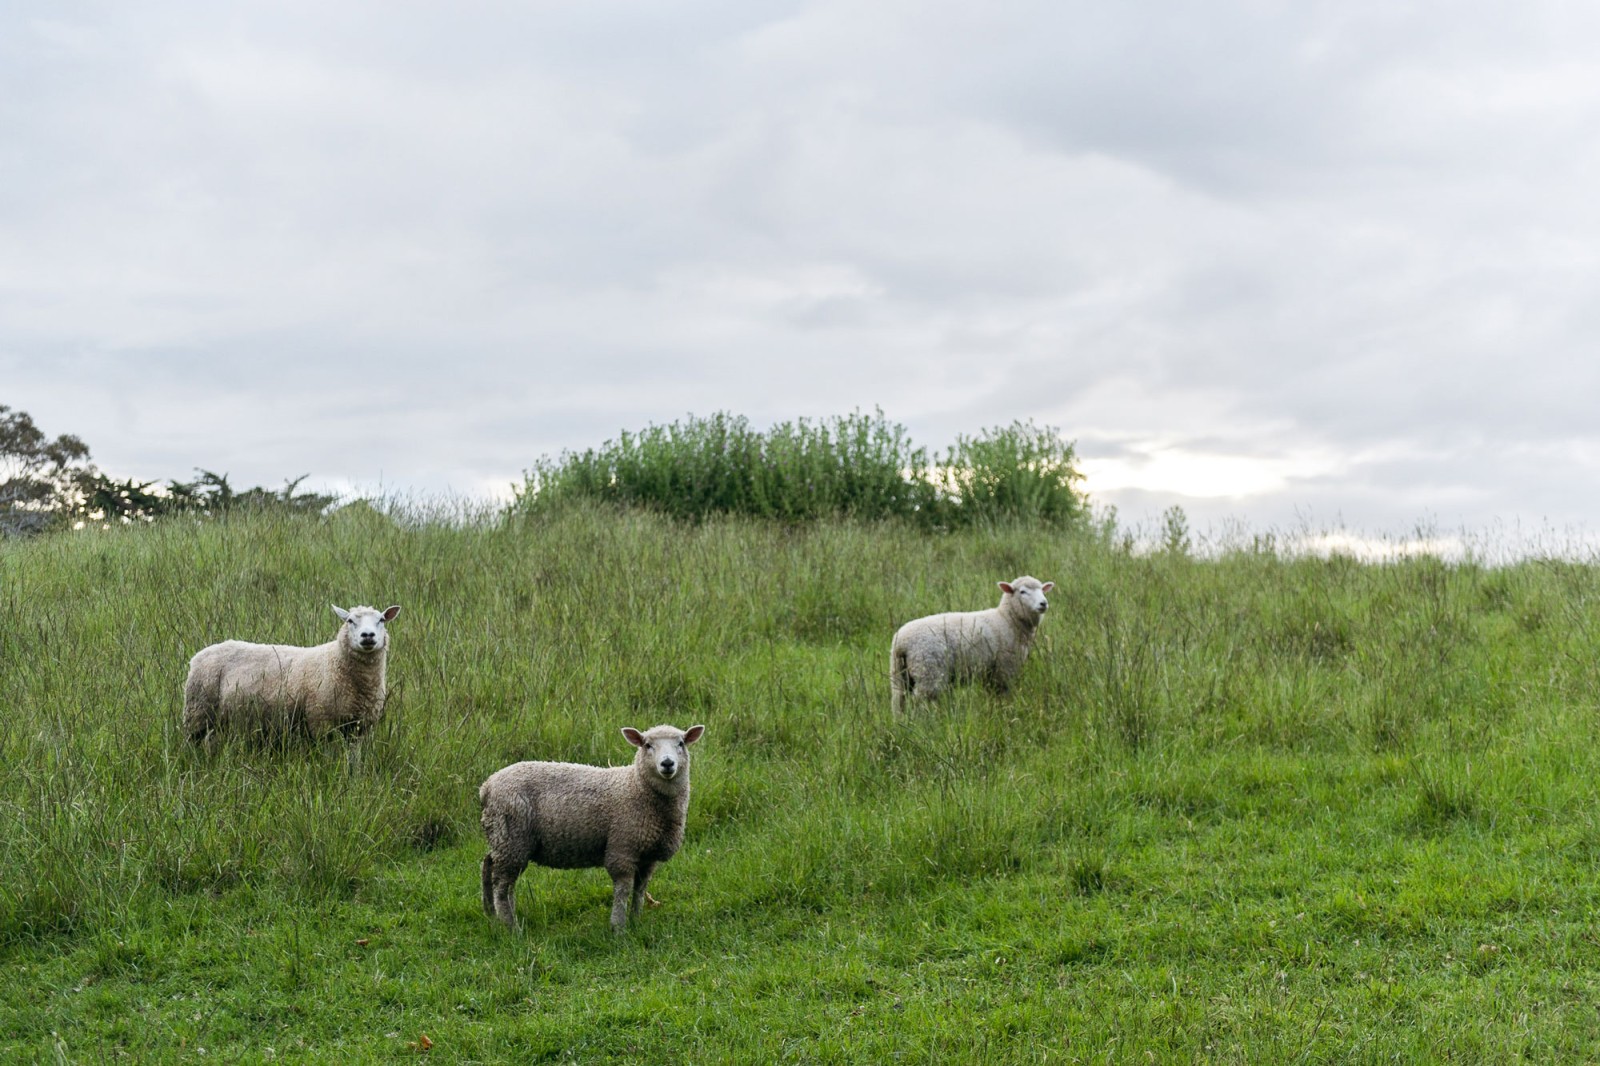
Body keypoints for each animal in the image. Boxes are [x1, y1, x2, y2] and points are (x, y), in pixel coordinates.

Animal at [182, 604, 402, 751]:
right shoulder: (321, 722)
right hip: (198, 710)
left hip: (219, 718)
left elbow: (353, 760)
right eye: (350, 621)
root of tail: (198, 655)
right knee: (193, 742)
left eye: (381, 620)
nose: (368, 636)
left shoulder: (359, 727)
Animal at [479, 723, 706, 933]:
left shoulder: (648, 855)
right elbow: (623, 890)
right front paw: (618, 928)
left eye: (681, 743)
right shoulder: (622, 848)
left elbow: (640, 890)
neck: (636, 786)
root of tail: (487, 786)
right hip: (512, 837)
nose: (667, 763)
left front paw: (635, 920)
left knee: (490, 867)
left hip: (502, 837)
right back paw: (511, 927)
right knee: (502, 885)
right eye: (647, 745)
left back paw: (492, 913)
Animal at [890, 576, 1054, 713]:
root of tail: (902, 641)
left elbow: (992, 695)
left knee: (899, 701)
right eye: (1022, 591)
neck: (1008, 619)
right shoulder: (1005, 667)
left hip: (899, 673)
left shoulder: (991, 671)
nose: (1043, 603)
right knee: (919, 701)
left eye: (1042, 590)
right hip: (928, 671)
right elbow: (1003, 695)